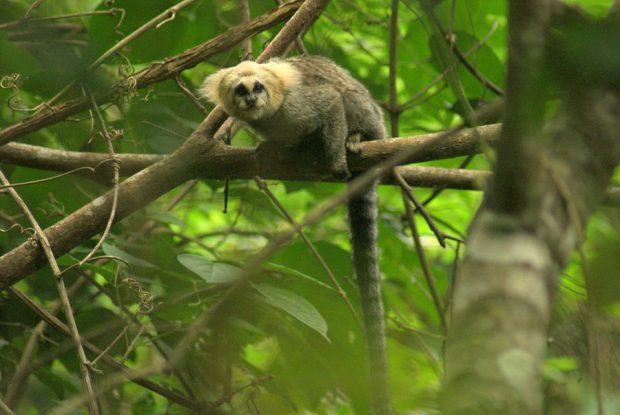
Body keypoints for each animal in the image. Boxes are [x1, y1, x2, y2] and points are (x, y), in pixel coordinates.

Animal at [201, 56, 390, 415]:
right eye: (240, 90)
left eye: (258, 87)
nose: (251, 100)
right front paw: (270, 147)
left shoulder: (301, 104)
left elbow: (332, 102)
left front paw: (336, 157)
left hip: (374, 121)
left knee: (351, 99)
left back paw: (356, 135)